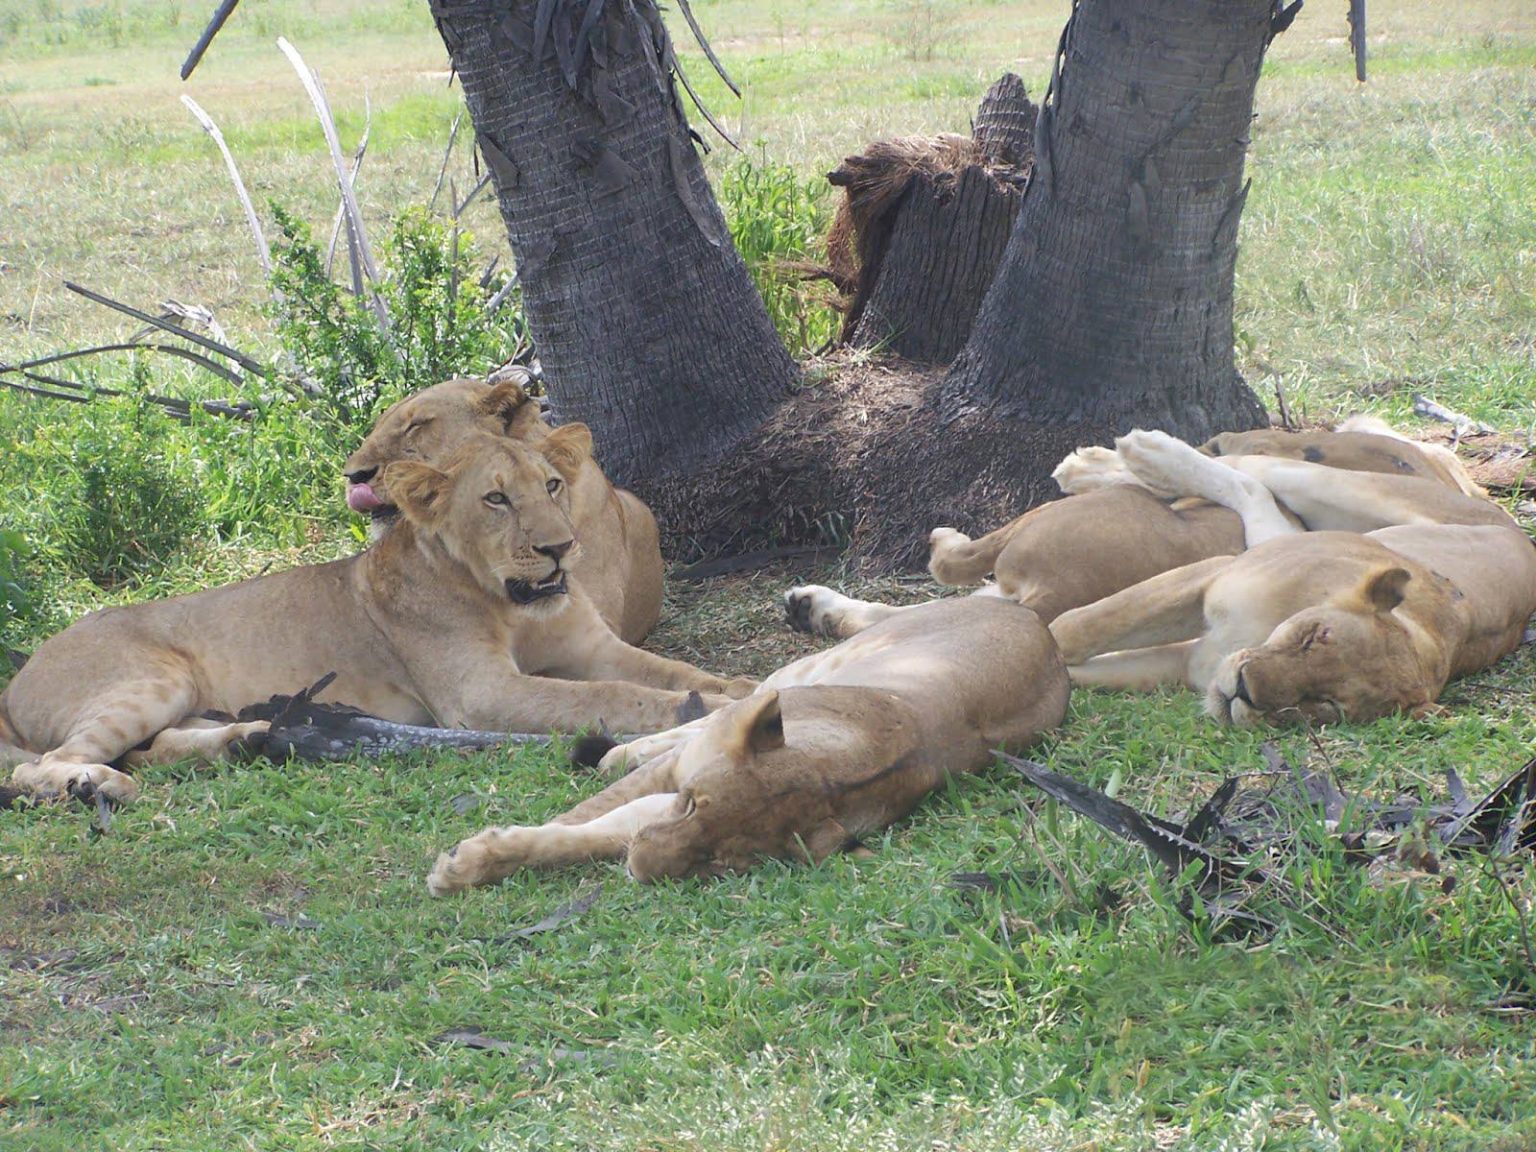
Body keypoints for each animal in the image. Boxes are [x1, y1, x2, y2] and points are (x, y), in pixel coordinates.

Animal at [0, 428, 750, 805]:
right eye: (496, 500)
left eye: (554, 485)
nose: (561, 548)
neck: (512, 604)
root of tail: (17, 679)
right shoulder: (480, 696)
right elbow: (614, 694)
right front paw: (705, 710)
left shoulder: (593, 645)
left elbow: (670, 670)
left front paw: (739, 688)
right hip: (154, 679)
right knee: (48, 765)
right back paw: (98, 784)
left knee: (157, 747)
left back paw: (247, 739)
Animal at [424, 595, 1069, 891]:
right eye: (693, 806)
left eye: (718, 863)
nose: (639, 870)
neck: (840, 776)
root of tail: (1032, 618)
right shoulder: (672, 780)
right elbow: (580, 818)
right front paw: (469, 861)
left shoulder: (660, 812)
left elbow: (586, 836)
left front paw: (476, 861)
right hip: (809, 669)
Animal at [1049, 430, 1536, 725]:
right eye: (1314, 636)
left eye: (1322, 704)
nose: (1243, 692)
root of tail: (1513, 527)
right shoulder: (1216, 572)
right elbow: (1073, 629)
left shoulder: (1183, 661)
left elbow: (1082, 665)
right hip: (1345, 489)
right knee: (1251, 470)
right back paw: (1124, 459)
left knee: (1256, 493)